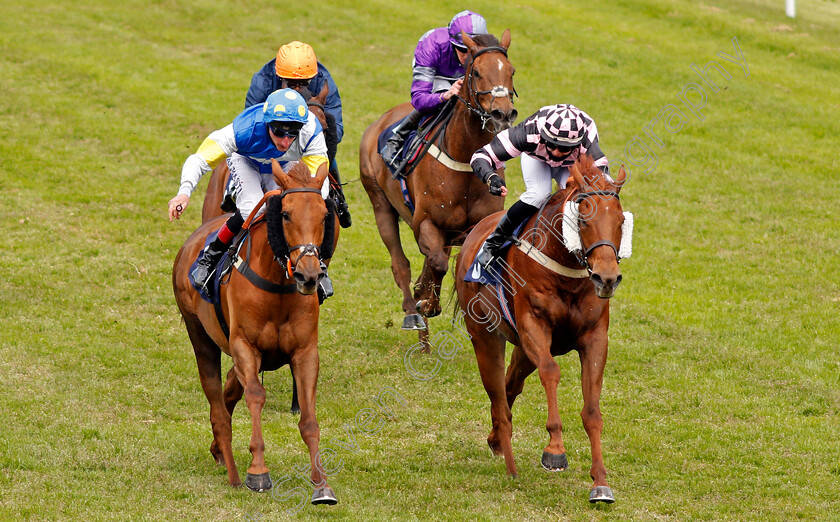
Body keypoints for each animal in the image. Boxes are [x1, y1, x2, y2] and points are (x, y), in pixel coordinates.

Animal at [171, 161, 338, 504]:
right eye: (285, 214)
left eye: (324, 215)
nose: (309, 275)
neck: (278, 286)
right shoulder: (245, 346)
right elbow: (256, 396)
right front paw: (257, 471)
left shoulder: (305, 352)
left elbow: (309, 418)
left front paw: (321, 484)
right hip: (200, 336)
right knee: (218, 404)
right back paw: (231, 467)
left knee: (229, 392)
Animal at [360, 31, 520, 342]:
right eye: (476, 72)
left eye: (511, 71)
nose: (503, 114)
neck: (465, 161)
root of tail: (379, 122)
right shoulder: (426, 223)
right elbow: (436, 263)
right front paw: (427, 304)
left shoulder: (473, 229)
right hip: (380, 203)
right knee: (401, 264)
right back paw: (413, 313)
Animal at [452, 153, 632, 500]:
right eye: (584, 220)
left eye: (620, 221)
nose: (607, 278)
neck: (566, 271)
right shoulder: (533, 327)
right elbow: (551, 372)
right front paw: (555, 451)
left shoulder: (594, 338)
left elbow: (592, 411)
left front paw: (601, 482)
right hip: (485, 337)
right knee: (498, 394)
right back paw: (509, 464)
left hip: (521, 350)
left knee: (510, 386)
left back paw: (496, 439)